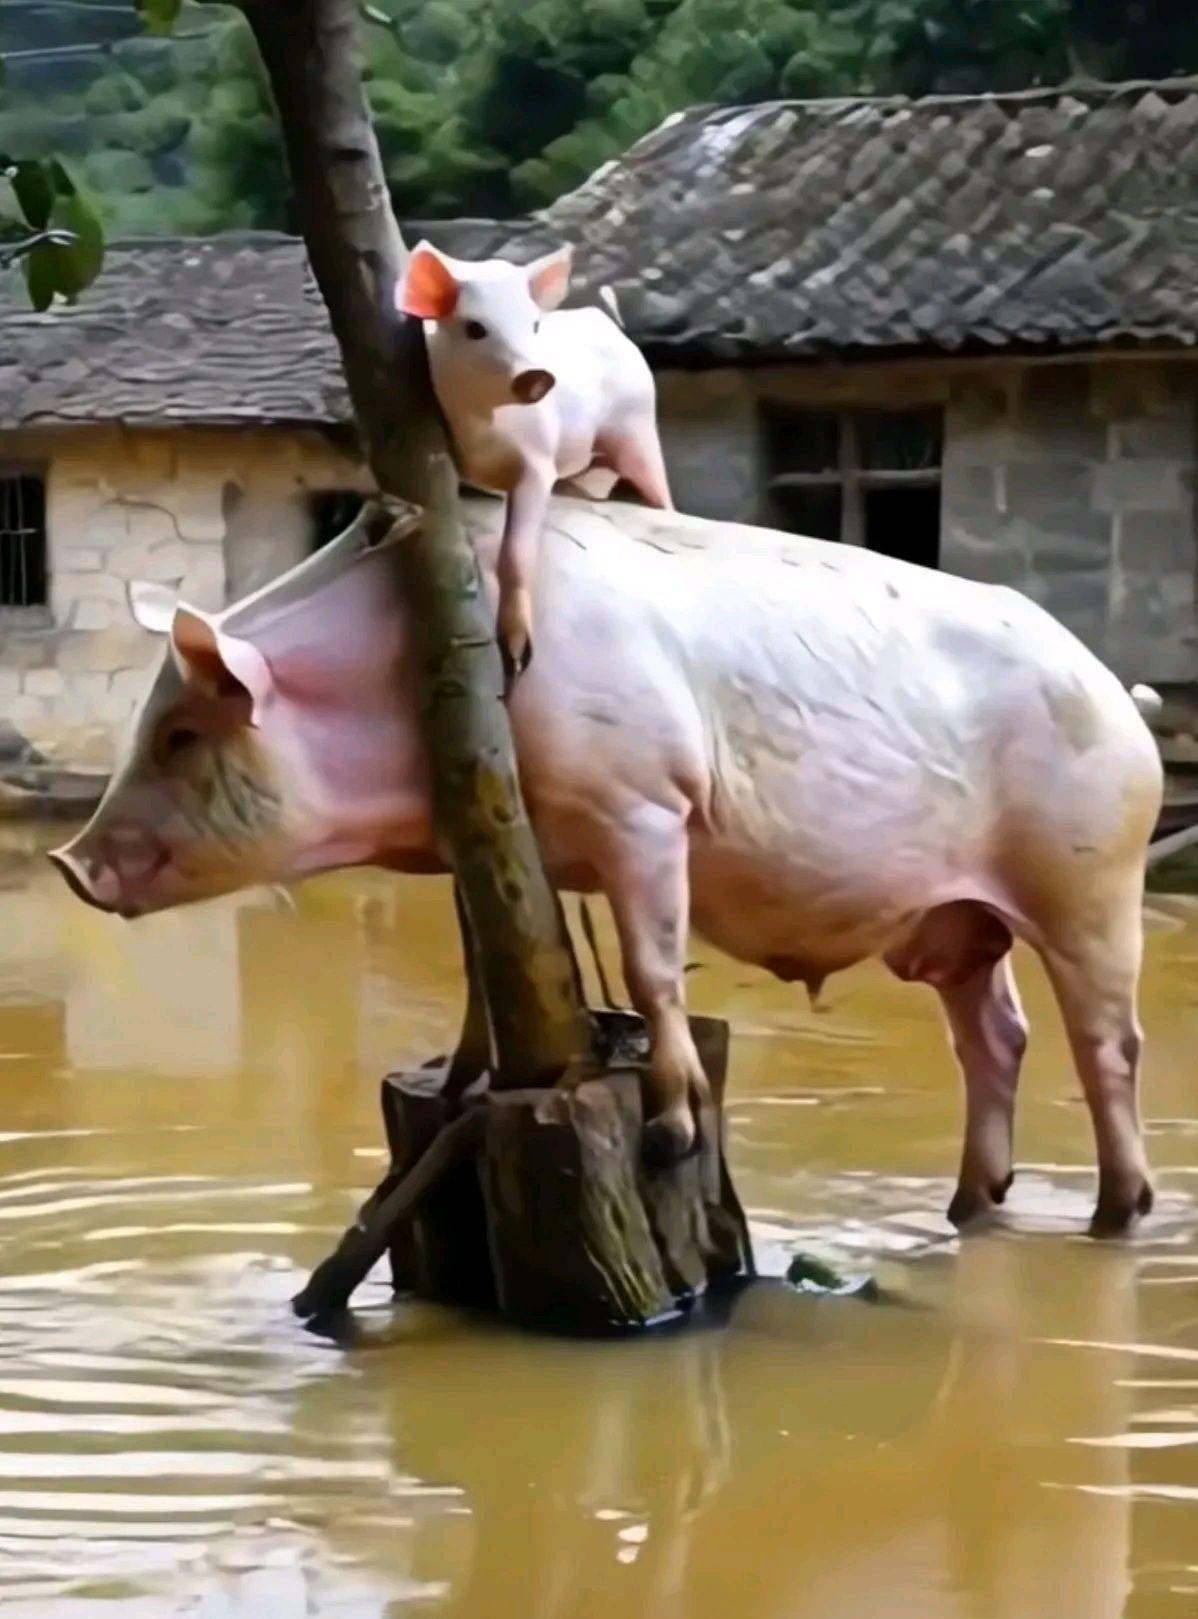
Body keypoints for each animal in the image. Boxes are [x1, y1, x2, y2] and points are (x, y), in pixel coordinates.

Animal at [51, 498, 1165, 1230]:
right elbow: (482, 970)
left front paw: (670, 1133)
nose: (68, 863)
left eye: (182, 735)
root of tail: (1124, 693)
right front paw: (461, 1086)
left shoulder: (647, 807)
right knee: (997, 1036)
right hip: (959, 920)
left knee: (1108, 1040)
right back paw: (970, 1205)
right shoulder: (492, 837)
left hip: (1093, 873)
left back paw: (1118, 1212)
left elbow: (651, 966)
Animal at [395, 241, 670, 683]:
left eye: (534, 324)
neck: (482, 427)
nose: (536, 375)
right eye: (475, 328)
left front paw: (518, 660)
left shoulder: (539, 463)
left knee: (660, 492)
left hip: (637, 428)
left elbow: (516, 553)